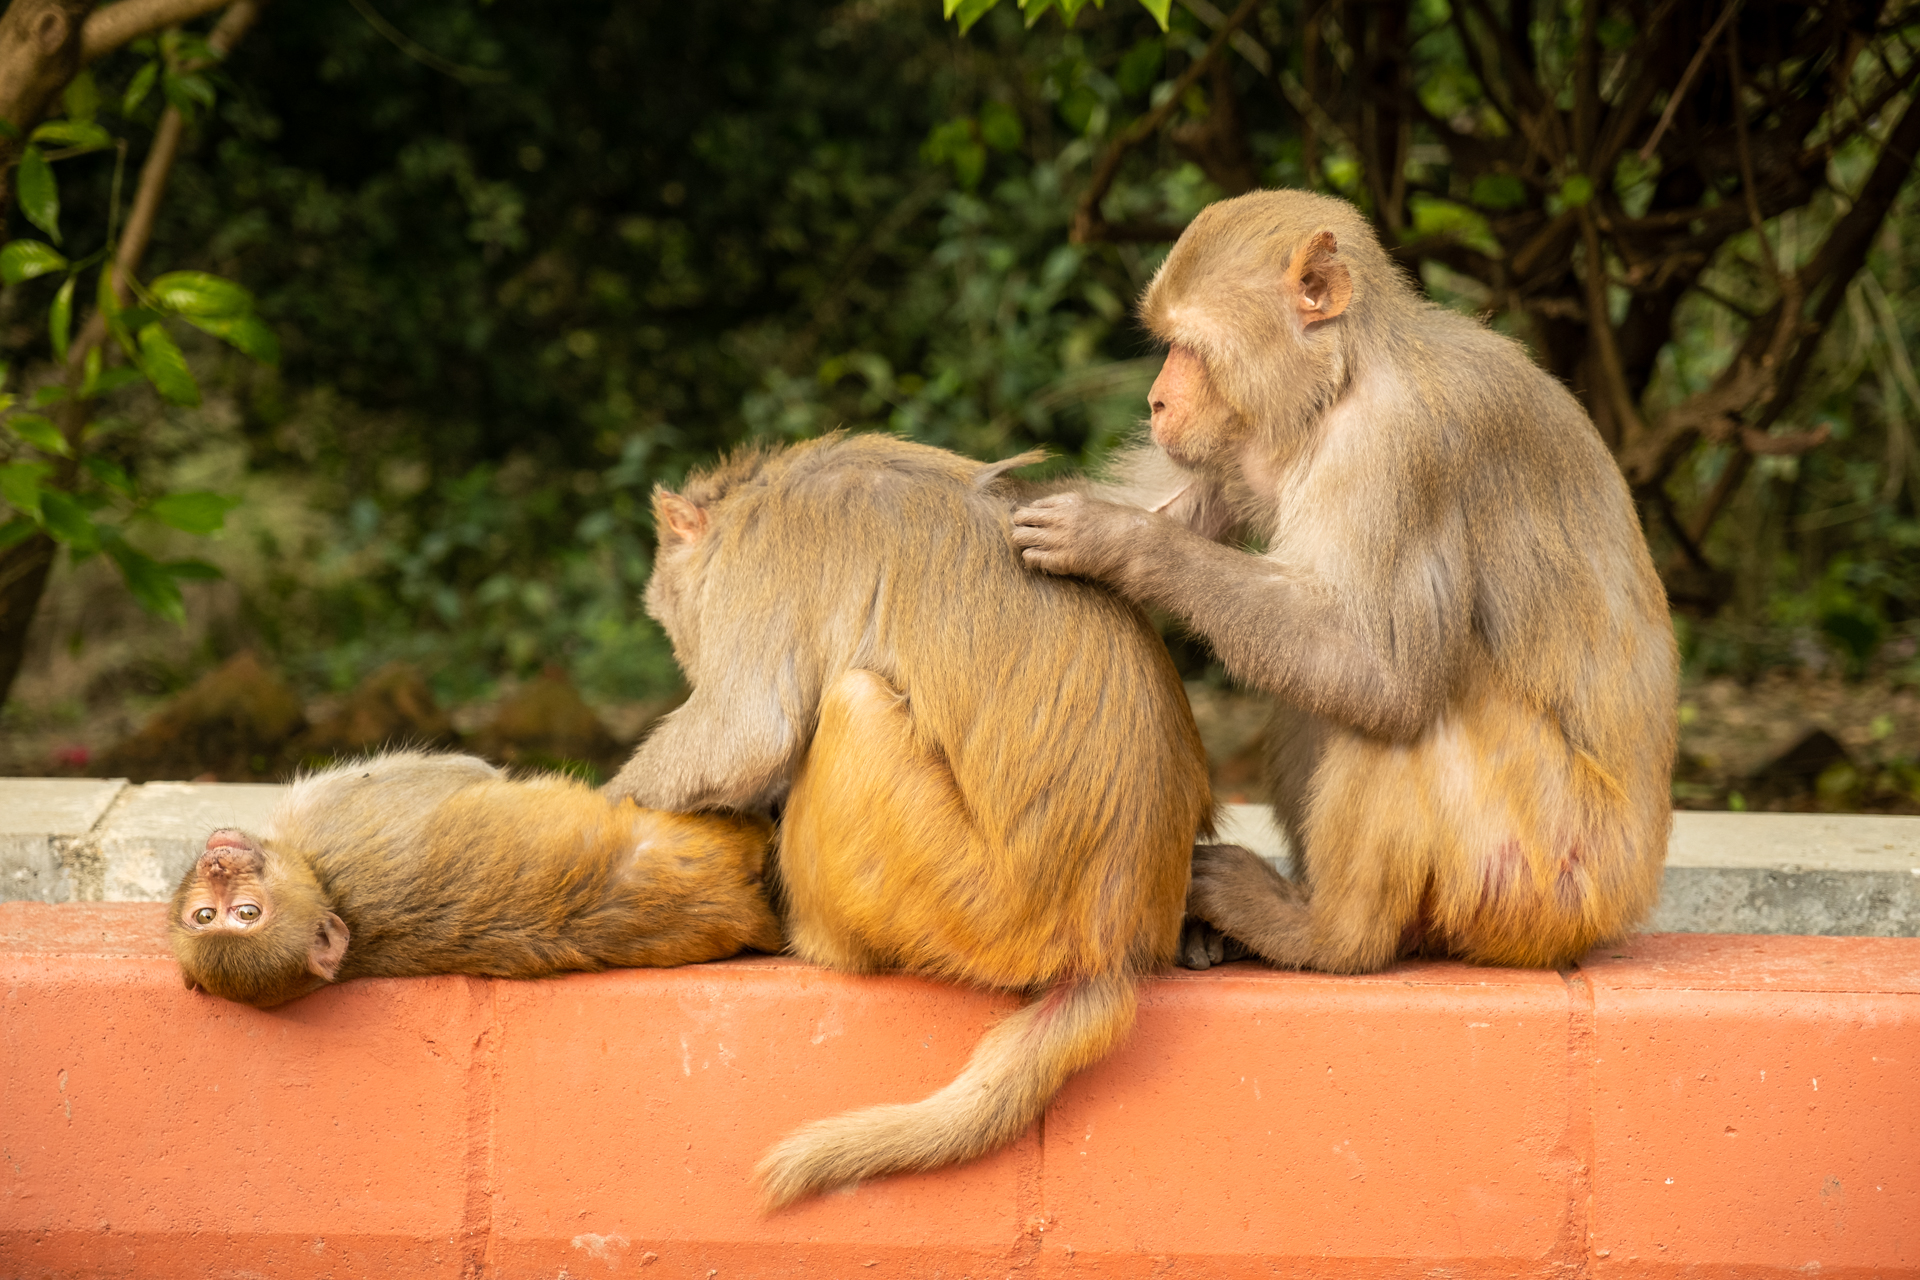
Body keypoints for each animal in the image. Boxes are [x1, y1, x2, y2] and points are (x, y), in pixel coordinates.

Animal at [170, 752, 779, 1013]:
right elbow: (469, 770)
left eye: (238, 914)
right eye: (213, 916)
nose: (217, 868)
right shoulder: (331, 819)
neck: (328, 887)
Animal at [602, 435, 1213, 1205]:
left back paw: (816, 940)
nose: (681, 651)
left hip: (974, 908)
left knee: (854, 703)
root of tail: (1114, 946)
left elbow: (744, 735)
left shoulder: (764, 562)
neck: (758, 497)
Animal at [1013, 188, 1674, 971]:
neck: (1346, 375)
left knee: (1414, 704)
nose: (1157, 402)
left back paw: (1325, 934)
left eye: (1192, 349)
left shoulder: (1394, 448)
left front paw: (1117, 540)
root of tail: (1629, 894)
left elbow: (1382, 673)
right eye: (1168, 344)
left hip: (1546, 874)